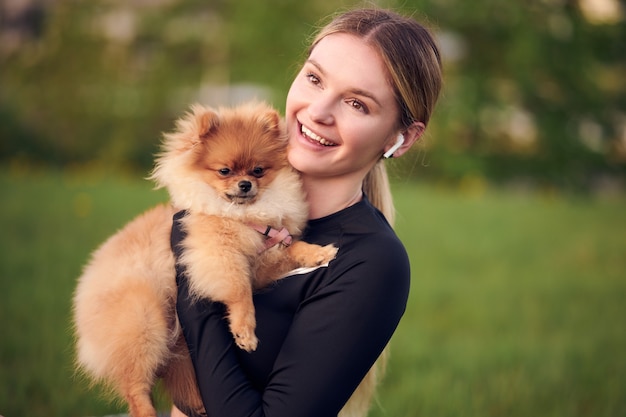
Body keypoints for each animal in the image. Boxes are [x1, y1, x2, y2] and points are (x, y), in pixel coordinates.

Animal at [72, 101, 336, 416]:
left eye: (258, 170)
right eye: (224, 171)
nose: (245, 184)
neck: (242, 216)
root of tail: (86, 288)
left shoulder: (262, 258)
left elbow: (292, 248)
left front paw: (318, 253)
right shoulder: (217, 255)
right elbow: (240, 292)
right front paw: (245, 331)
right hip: (142, 320)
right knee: (135, 388)